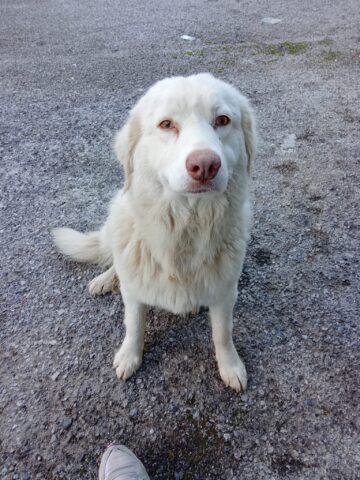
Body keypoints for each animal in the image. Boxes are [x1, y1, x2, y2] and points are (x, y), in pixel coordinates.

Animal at [52, 73, 256, 392]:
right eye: (166, 124)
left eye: (223, 120)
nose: (205, 165)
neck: (186, 225)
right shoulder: (135, 295)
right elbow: (135, 325)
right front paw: (129, 357)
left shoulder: (224, 293)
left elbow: (222, 334)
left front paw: (230, 366)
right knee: (115, 261)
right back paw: (105, 279)